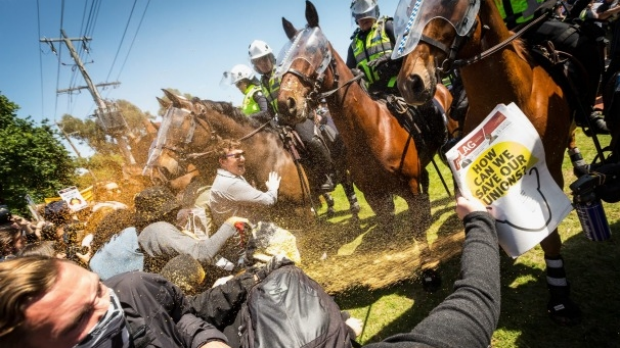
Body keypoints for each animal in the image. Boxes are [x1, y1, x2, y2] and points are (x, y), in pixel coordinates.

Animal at [276, 0, 456, 286]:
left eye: (317, 50)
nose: (285, 103)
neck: (372, 132)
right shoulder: (376, 197)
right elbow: (390, 231)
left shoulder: (410, 187)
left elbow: (417, 230)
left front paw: (429, 269)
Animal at [394, 0, 584, 324]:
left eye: (449, 6)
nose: (411, 82)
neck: (513, 93)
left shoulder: (549, 169)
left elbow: (549, 233)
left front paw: (559, 295)